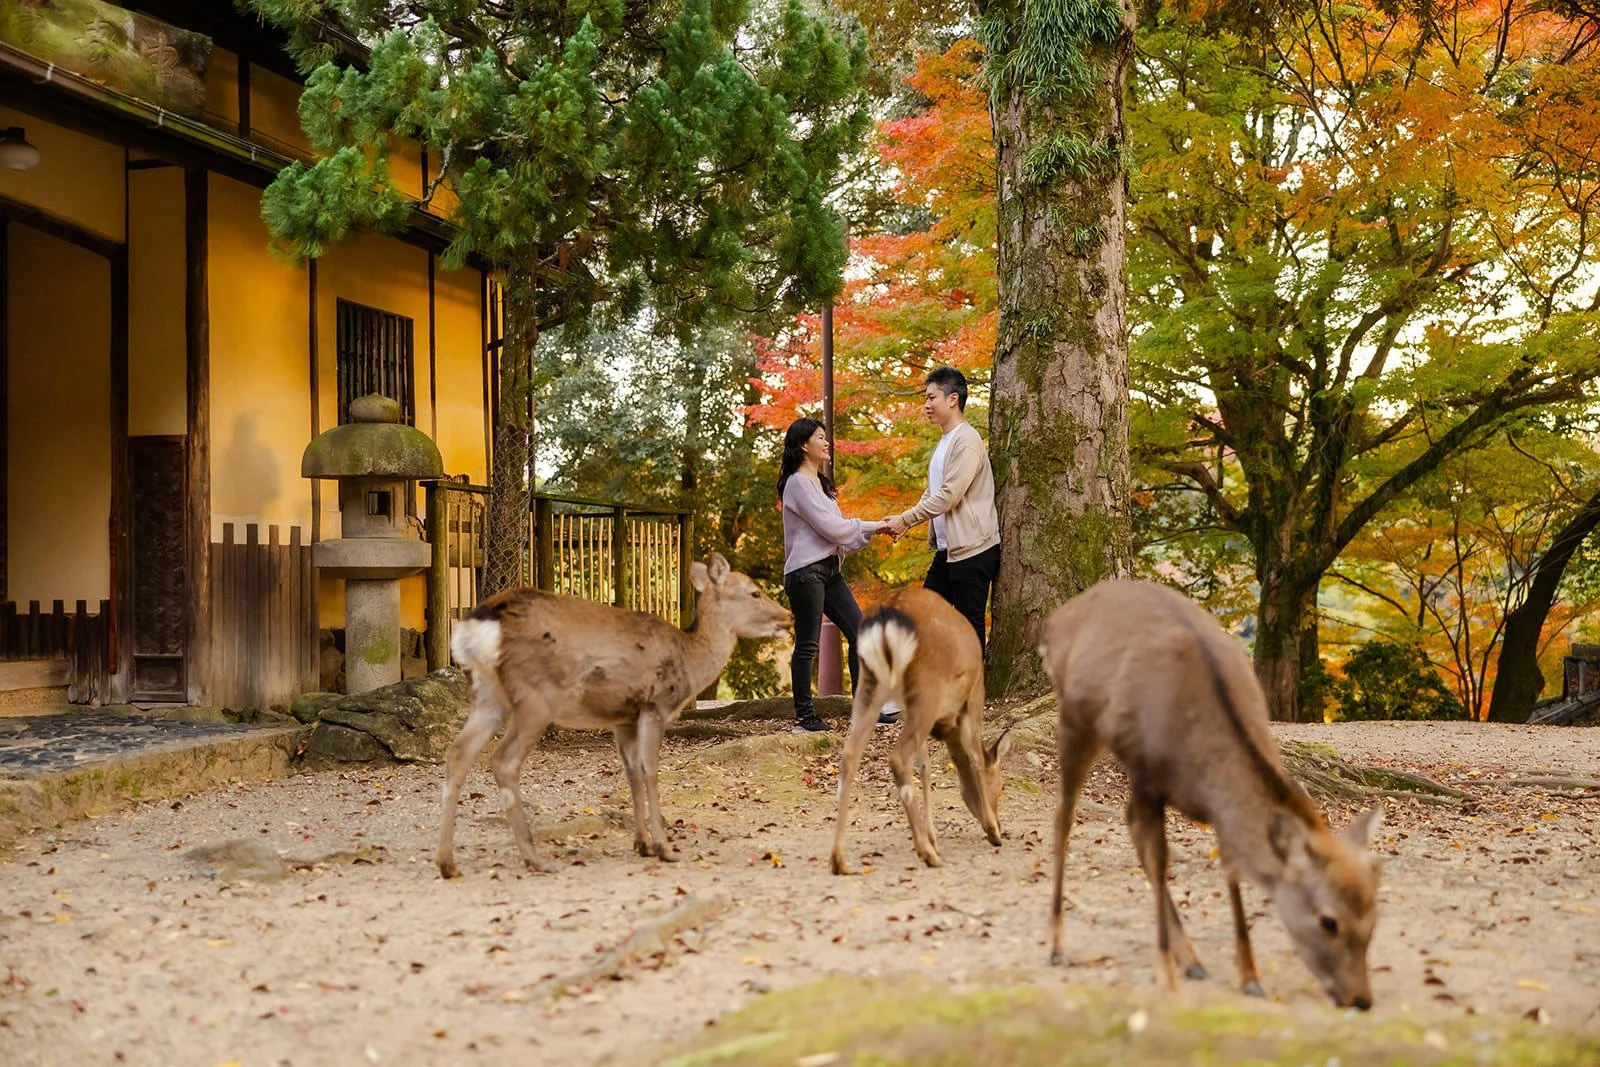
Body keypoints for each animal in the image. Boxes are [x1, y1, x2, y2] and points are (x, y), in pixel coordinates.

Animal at [436, 552, 791, 877]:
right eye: (754, 592)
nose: (787, 615)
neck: (690, 659)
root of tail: (478, 625)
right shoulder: (655, 705)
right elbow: (651, 771)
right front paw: (664, 848)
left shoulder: (624, 718)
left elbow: (631, 771)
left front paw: (642, 844)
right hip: (535, 697)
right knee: (503, 760)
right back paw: (534, 859)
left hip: (487, 696)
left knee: (457, 752)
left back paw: (448, 863)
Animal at [831, 586, 1013, 875]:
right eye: (1003, 785)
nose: (999, 823)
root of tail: (885, 619)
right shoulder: (973, 698)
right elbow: (974, 758)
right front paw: (992, 832)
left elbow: (925, 768)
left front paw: (934, 837)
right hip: (927, 686)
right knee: (899, 757)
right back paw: (926, 853)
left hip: (871, 684)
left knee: (849, 754)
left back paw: (839, 859)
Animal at [1039, 579, 1383, 1010]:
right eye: (1329, 920)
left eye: (1374, 916)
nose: (1361, 999)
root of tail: (1057, 619)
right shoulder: (1146, 774)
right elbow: (1160, 859)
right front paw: (1167, 979)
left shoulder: (1219, 811)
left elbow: (1230, 869)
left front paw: (1249, 977)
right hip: (1074, 719)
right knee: (1063, 820)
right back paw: (1057, 947)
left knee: (1125, 825)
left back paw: (1192, 959)